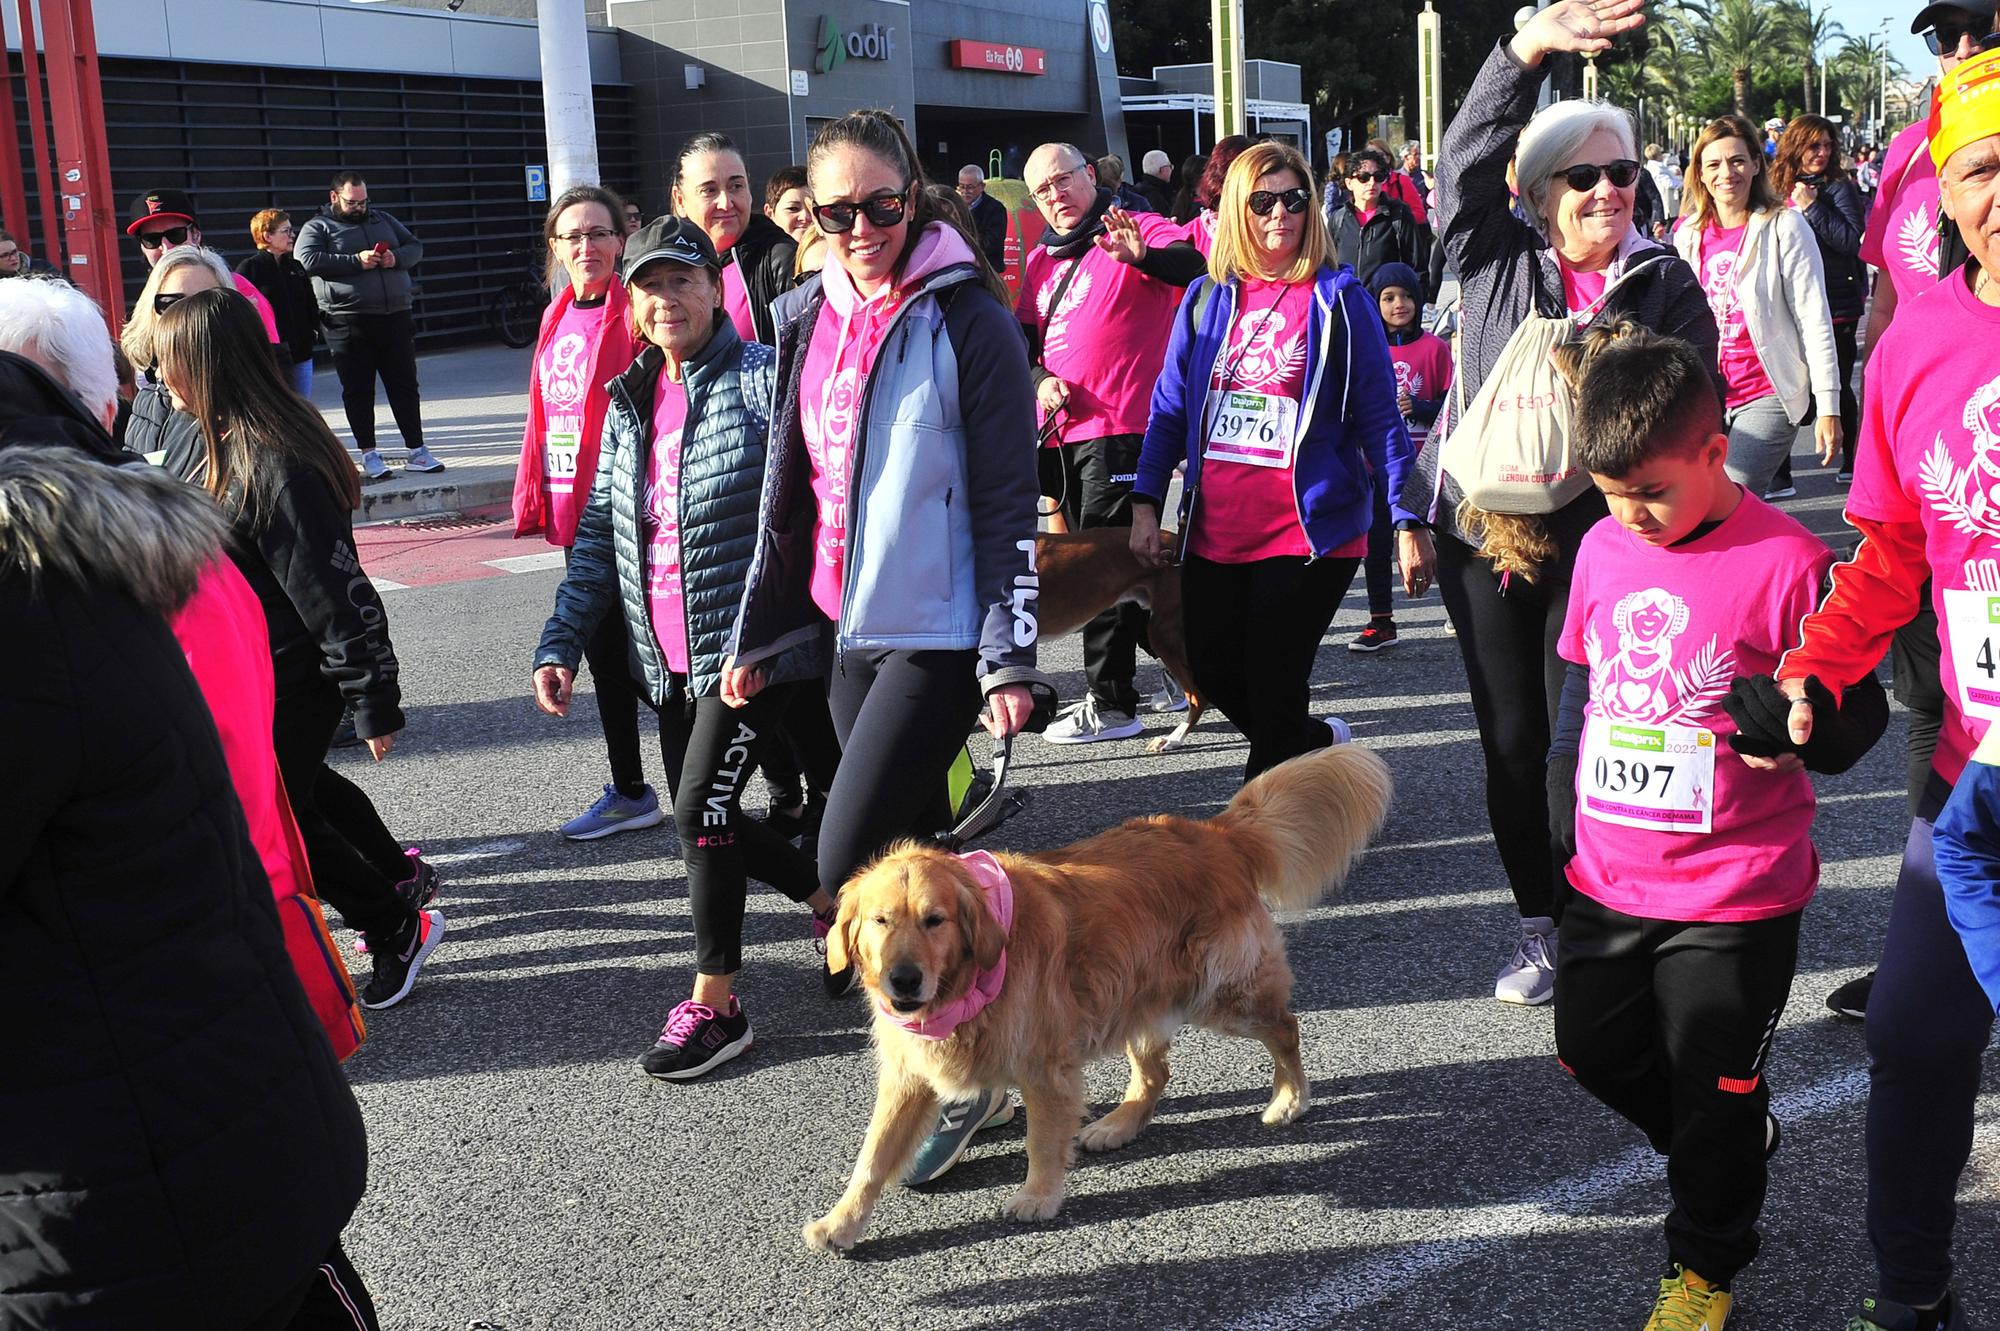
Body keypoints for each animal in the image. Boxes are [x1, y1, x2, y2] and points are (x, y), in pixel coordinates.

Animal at [796, 739, 1392, 1247]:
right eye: (880, 921)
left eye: (934, 921)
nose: (903, 980)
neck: (964, 990)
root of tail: (1214, 833)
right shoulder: (908, 1074)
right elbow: (873, 1156)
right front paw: (841, 1222)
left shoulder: (1044, 1069)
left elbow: (1040, 1140)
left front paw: (1038, 1196)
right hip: (1132, 995)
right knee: (1155, 1073)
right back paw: (1119, 1124)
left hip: (1222, 994)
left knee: (1285, 1028)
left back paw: (1289, 1099)